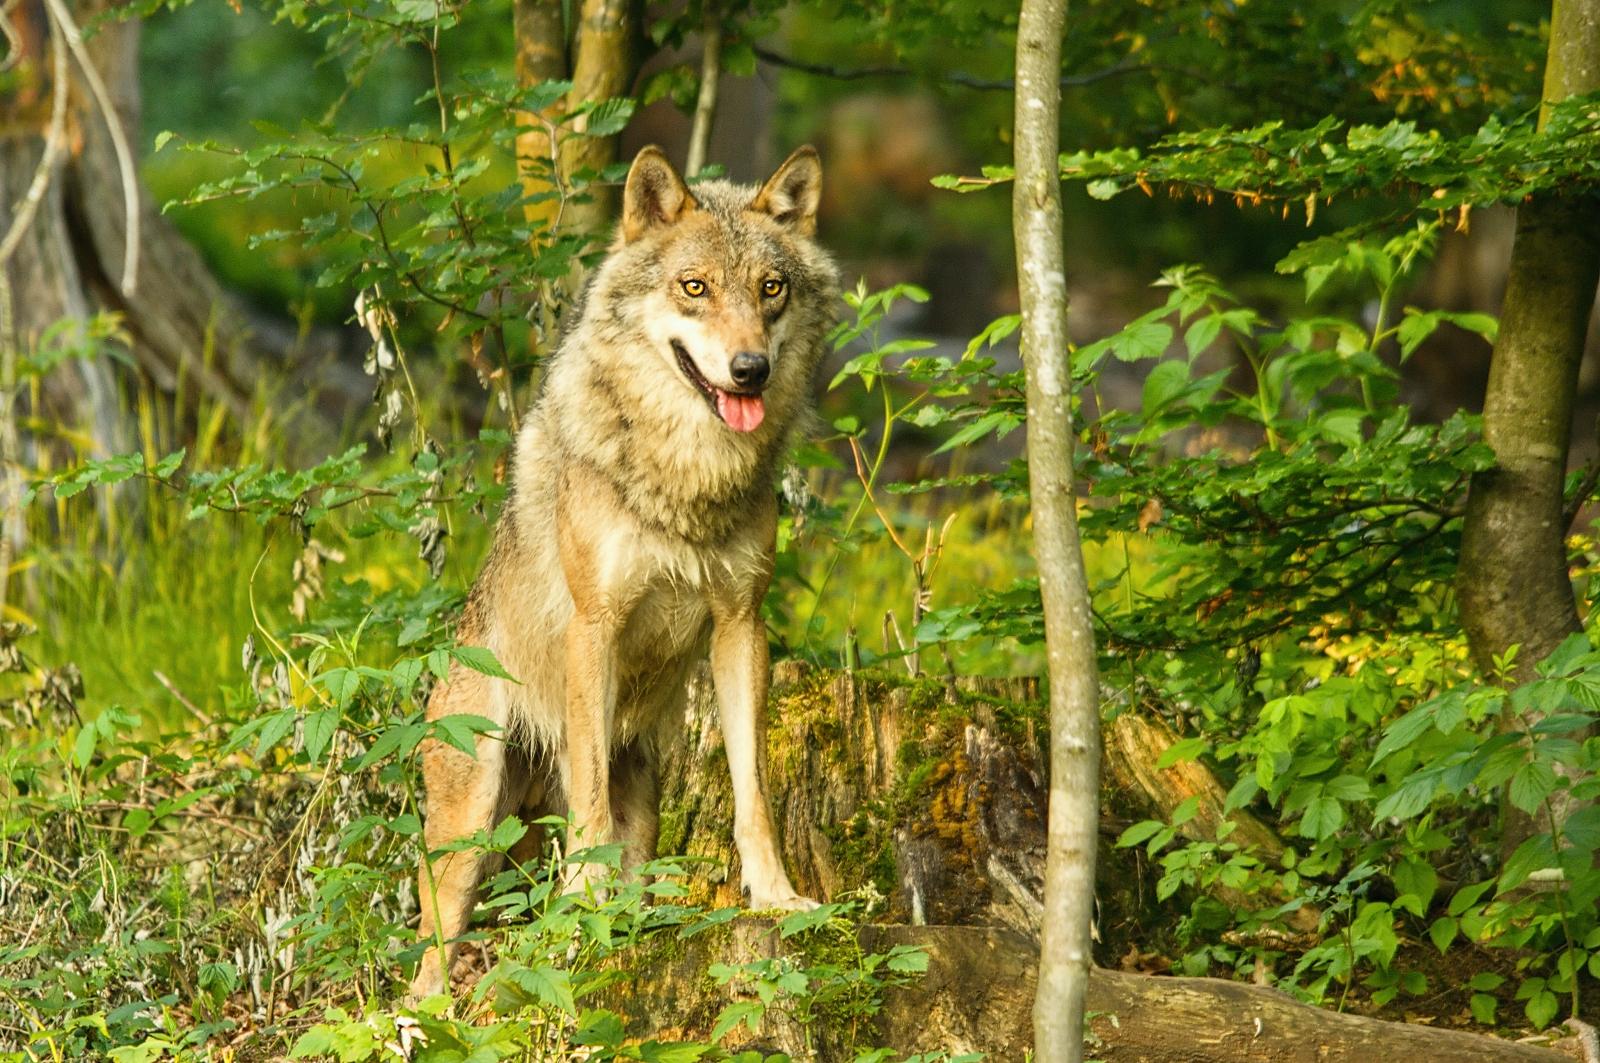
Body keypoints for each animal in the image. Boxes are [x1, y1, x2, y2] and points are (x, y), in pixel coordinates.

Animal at [409, 144, 838, 998]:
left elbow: (754, 792)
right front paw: (583, 906)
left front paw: (776, 896)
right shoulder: (594, 625)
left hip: (644, 780)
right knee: (427, 951)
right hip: (474, 813)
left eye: (771, 289)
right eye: (694, 287)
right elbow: (589, 811)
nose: (750, 369)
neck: (688, 479)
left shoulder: (742, 625)